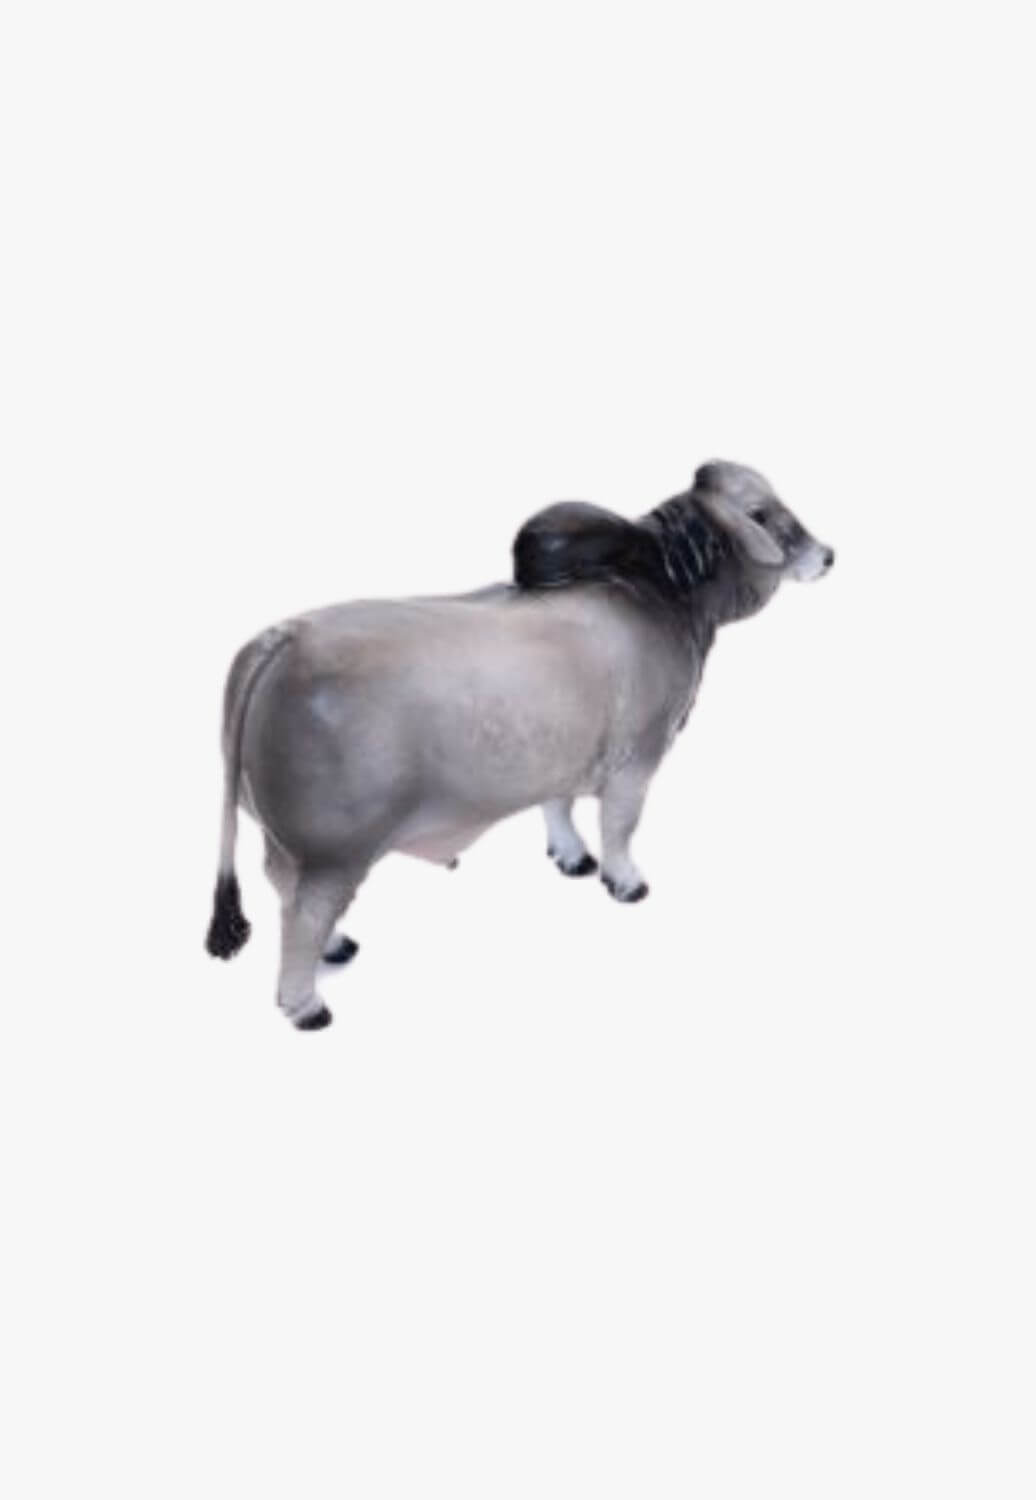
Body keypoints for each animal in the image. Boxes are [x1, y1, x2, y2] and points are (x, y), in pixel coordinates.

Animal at [205, 460, 834, 1030]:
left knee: (283, 887)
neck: (660, 592)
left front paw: (573, 857)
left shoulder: (561, 760)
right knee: (304, 914)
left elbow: (559, 810)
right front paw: (625, 881)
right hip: (334, 853)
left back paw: (335, 949)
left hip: (291, 845)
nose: (828, 554)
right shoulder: (637, 760)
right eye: (761, 513)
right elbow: (619, 829)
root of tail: (282, 639)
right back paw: (306, 1003)